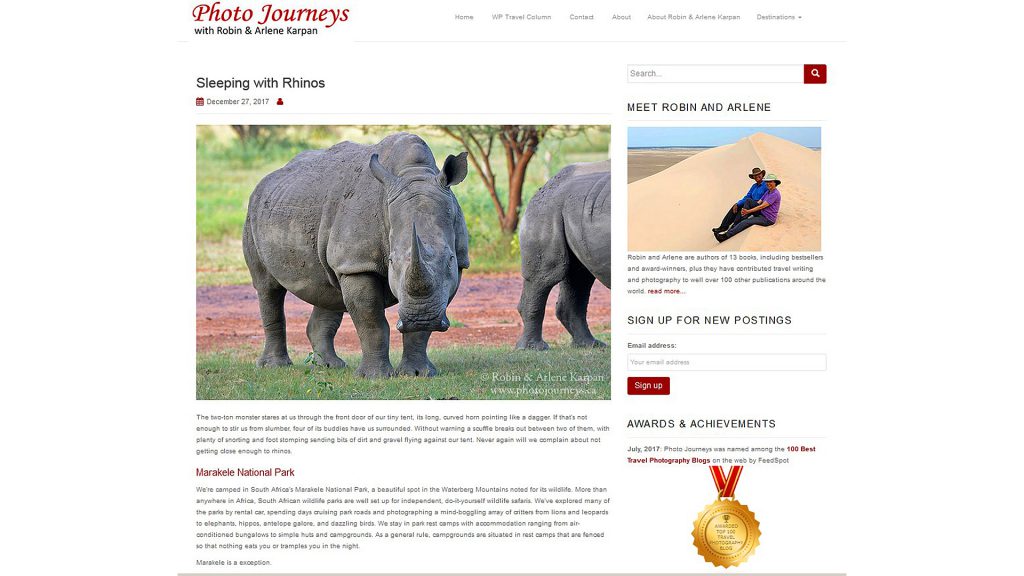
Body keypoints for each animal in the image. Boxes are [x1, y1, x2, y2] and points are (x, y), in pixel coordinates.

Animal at [242, 132, 470, 378]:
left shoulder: (457, 264)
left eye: (450, 260)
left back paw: (329, 365)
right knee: (267, 287)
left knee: (328, 287)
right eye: (392, 262)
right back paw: (275, 366)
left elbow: (423, 325)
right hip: (253, 213)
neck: (413, 173)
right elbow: (371, 320)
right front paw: (375, 377)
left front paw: (418, 373)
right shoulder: (358, 263)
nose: (421, 317)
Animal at [516, 160, 610, 350]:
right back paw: (535, 348)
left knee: (579, 275)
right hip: (547, 208)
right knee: (547, 275)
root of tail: (547, 184)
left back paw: (590, 345)